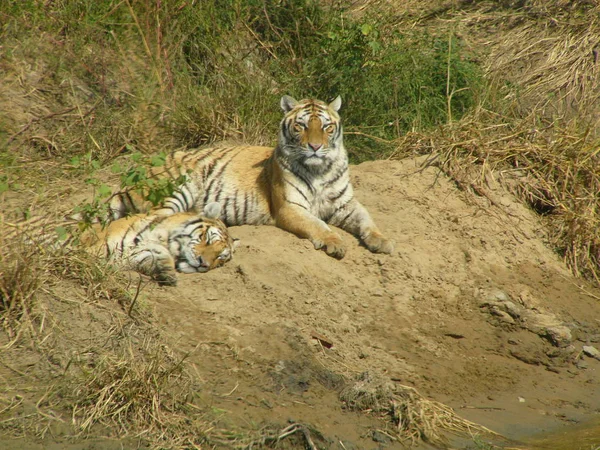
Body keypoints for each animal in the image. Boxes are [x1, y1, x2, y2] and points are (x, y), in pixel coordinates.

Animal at [7, 203, 238, 286]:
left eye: (220, 258)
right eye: (207, 239)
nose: (203, 264)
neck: (164, 239)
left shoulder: (135, 254)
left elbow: (154, 255)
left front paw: (167, 273)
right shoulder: (102, 247)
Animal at [109, 95, 394, 260]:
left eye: (327, 127)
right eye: (301, 125)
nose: (315, 147)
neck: (320, 170)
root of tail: (133, 176)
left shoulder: (346, 204)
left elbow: (367, 219)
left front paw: (382, 241)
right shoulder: (291, 208)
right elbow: (318, 226)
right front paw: (335, 243)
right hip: (176, 188)